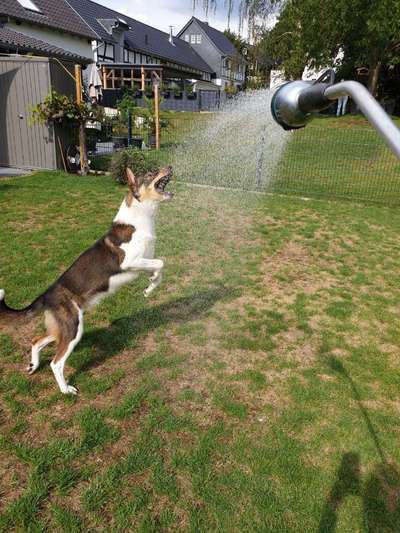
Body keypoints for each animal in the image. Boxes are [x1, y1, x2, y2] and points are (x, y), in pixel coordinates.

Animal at [0, 166, 172, 394]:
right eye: (151, 173)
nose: (170, 167)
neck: (140, 218)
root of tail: (47, 294)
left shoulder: (143, 261)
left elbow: (158, 267)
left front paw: (150, 287)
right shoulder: (129, 262)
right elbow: (161, 262)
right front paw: (151, 284)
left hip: (62, 328)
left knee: (37, 340)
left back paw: (33, 365)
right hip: (73, 328)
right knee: (56, 363)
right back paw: (66, 390)